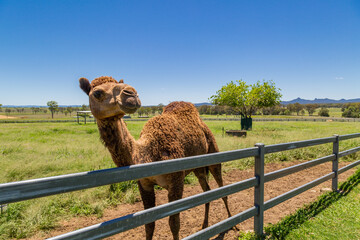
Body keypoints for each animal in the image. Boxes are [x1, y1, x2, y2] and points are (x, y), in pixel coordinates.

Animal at [78, 76, 231, 239]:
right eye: (97, 93)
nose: (131, 94)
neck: (148, 154)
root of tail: (202, 123)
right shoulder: (144, 184)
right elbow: (149, 224)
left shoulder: (176, 181)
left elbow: (174, 224)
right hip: (198, 167)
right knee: (207, 190)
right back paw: (205, 225)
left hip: (213, 150)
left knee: (221, 187)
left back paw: (231, 221)